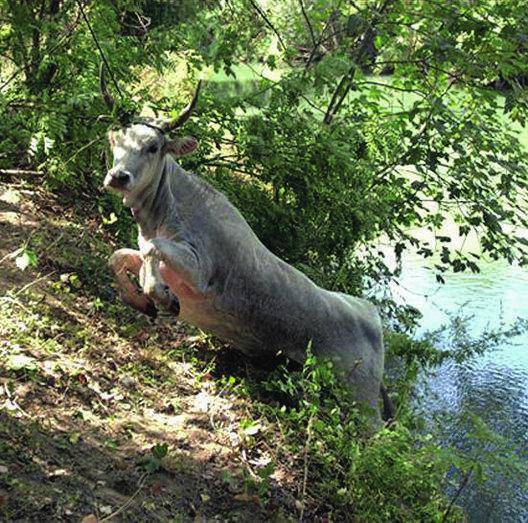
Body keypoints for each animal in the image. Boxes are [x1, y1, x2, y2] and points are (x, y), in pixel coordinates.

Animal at [102, 70, 392, 422]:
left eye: (153, 146)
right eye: (117, 141)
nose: (118, 177)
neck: (163, 211)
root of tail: (370, 313)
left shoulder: (201, 272)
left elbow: (152, 249)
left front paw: (159, 294)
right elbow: (118, 256)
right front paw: (140, 299)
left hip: (360, 404)